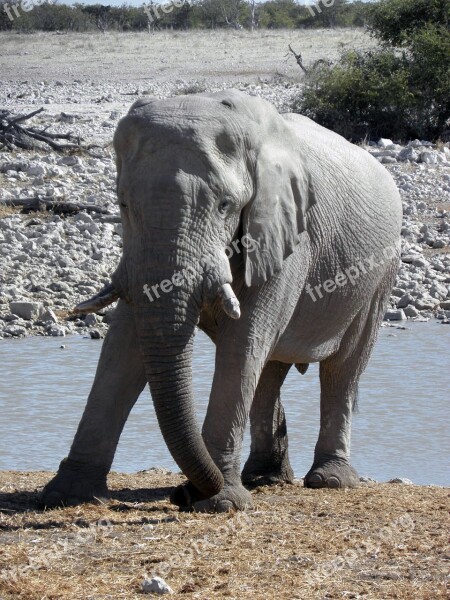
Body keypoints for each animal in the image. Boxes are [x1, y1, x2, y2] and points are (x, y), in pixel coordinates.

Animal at [40, 89, 402, 510]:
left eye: (225, 205)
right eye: (123, 204)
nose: (181, 494)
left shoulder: (286, 234)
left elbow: (242, 340)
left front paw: (221, 503)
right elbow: (124, 345)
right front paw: (65, 494)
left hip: (381, 268)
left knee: (341, 367)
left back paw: (329, 480)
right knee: (269, 368)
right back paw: (264, 478)